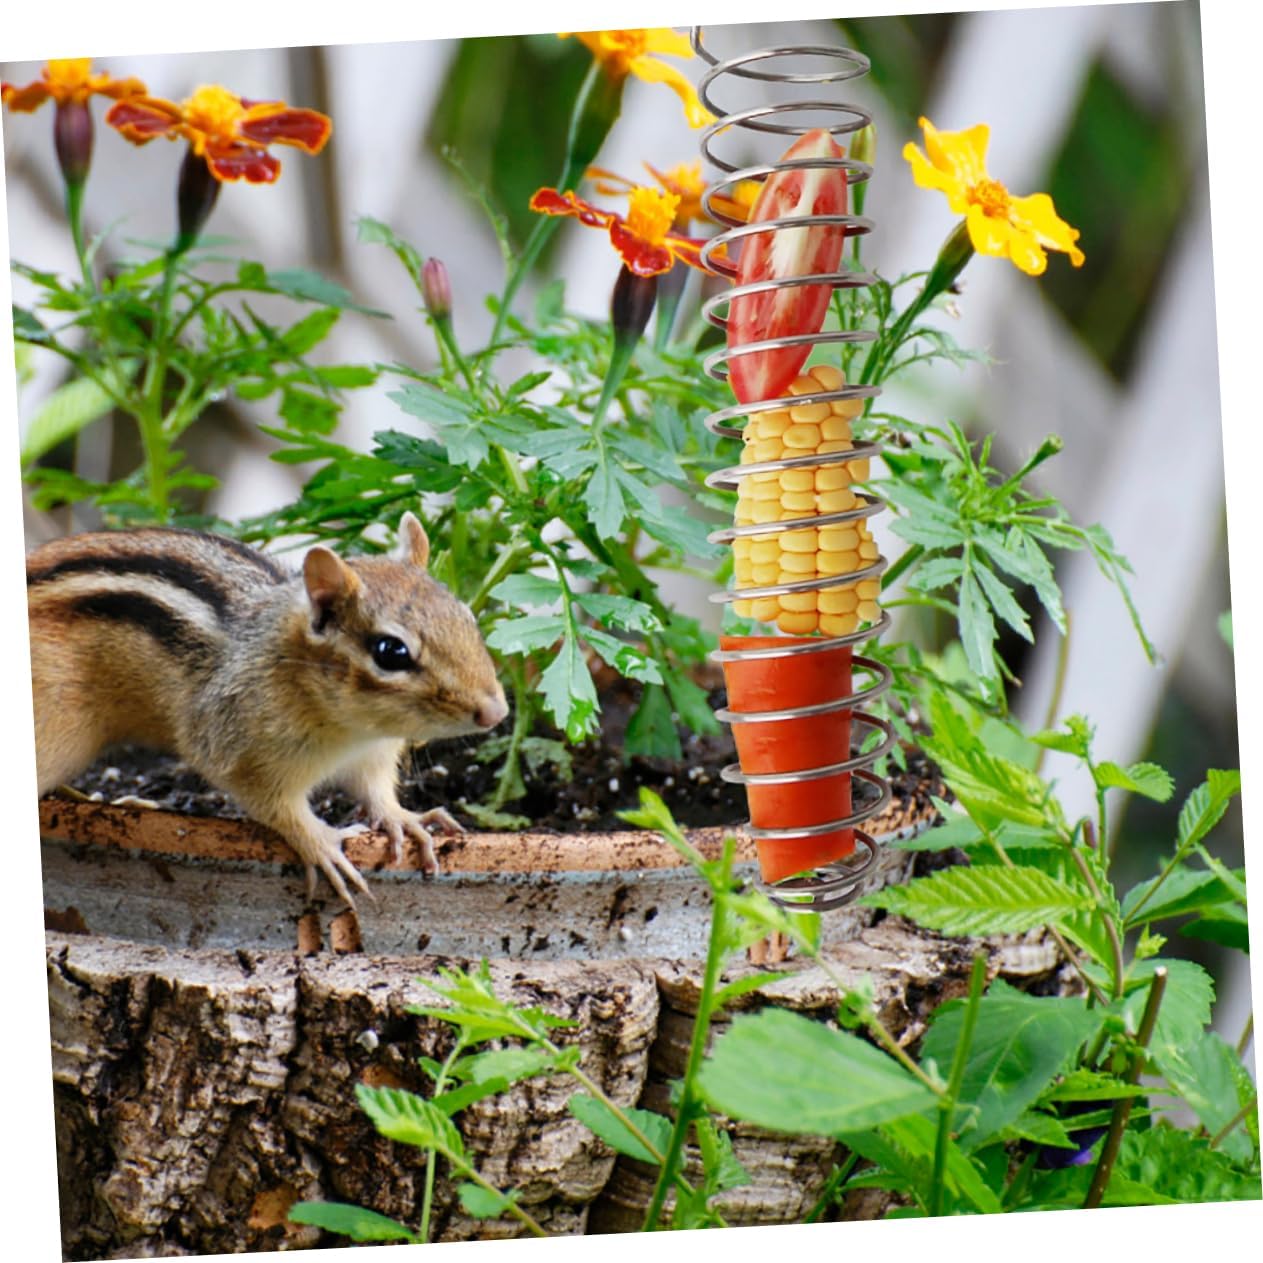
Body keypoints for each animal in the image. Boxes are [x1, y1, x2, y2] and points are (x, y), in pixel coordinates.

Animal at [26, 511, 508, 906]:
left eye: (468, 617)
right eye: (391, 652)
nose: (497, 713)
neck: (352, 730)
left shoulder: (370, 754)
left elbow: (374, 790)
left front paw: (403, 819)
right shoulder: (238, 749)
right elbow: (278, 807)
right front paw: (322, 842)